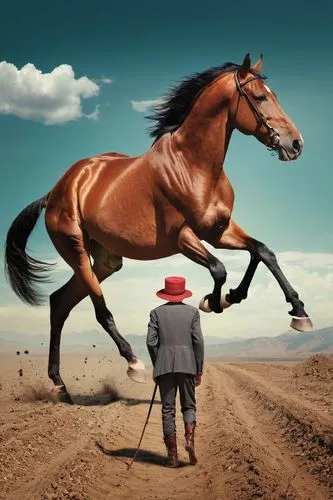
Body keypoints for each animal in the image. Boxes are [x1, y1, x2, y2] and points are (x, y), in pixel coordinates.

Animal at [4, 53, 312, 402]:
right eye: (259, 97)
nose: (296, 144)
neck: (194, 165)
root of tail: (56, 190)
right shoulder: (184, 238)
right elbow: (219, 268)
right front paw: (213, 301)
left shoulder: (218, 231)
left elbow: (263, 252)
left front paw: (294, 311)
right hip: (76, 251)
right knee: (98, 310)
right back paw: (133, 363)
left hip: (106, 260)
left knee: (59, 303)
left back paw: (60, 385)